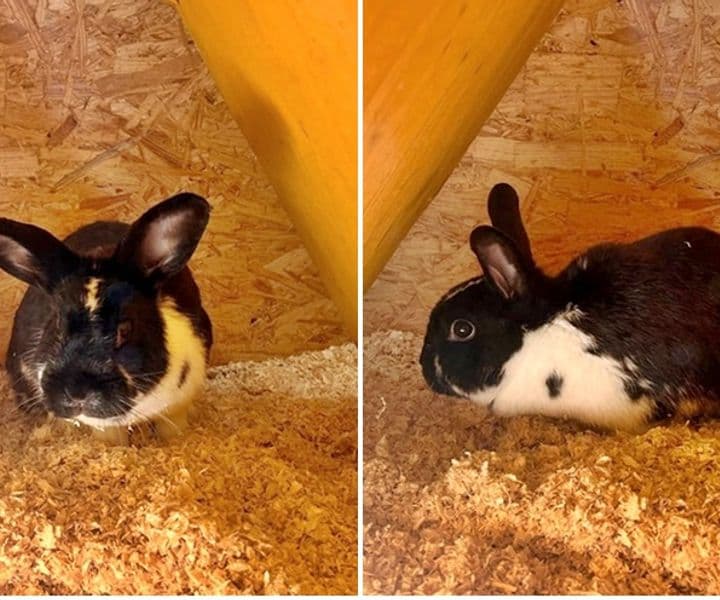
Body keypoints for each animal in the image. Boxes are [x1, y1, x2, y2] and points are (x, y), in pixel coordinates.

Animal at [0, 192, 213, 444]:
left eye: (124, 329)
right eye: (57, 324)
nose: (77, 393)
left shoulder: (178, 405)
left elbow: (172, 430)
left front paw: (172, 443)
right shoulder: (103, 425)